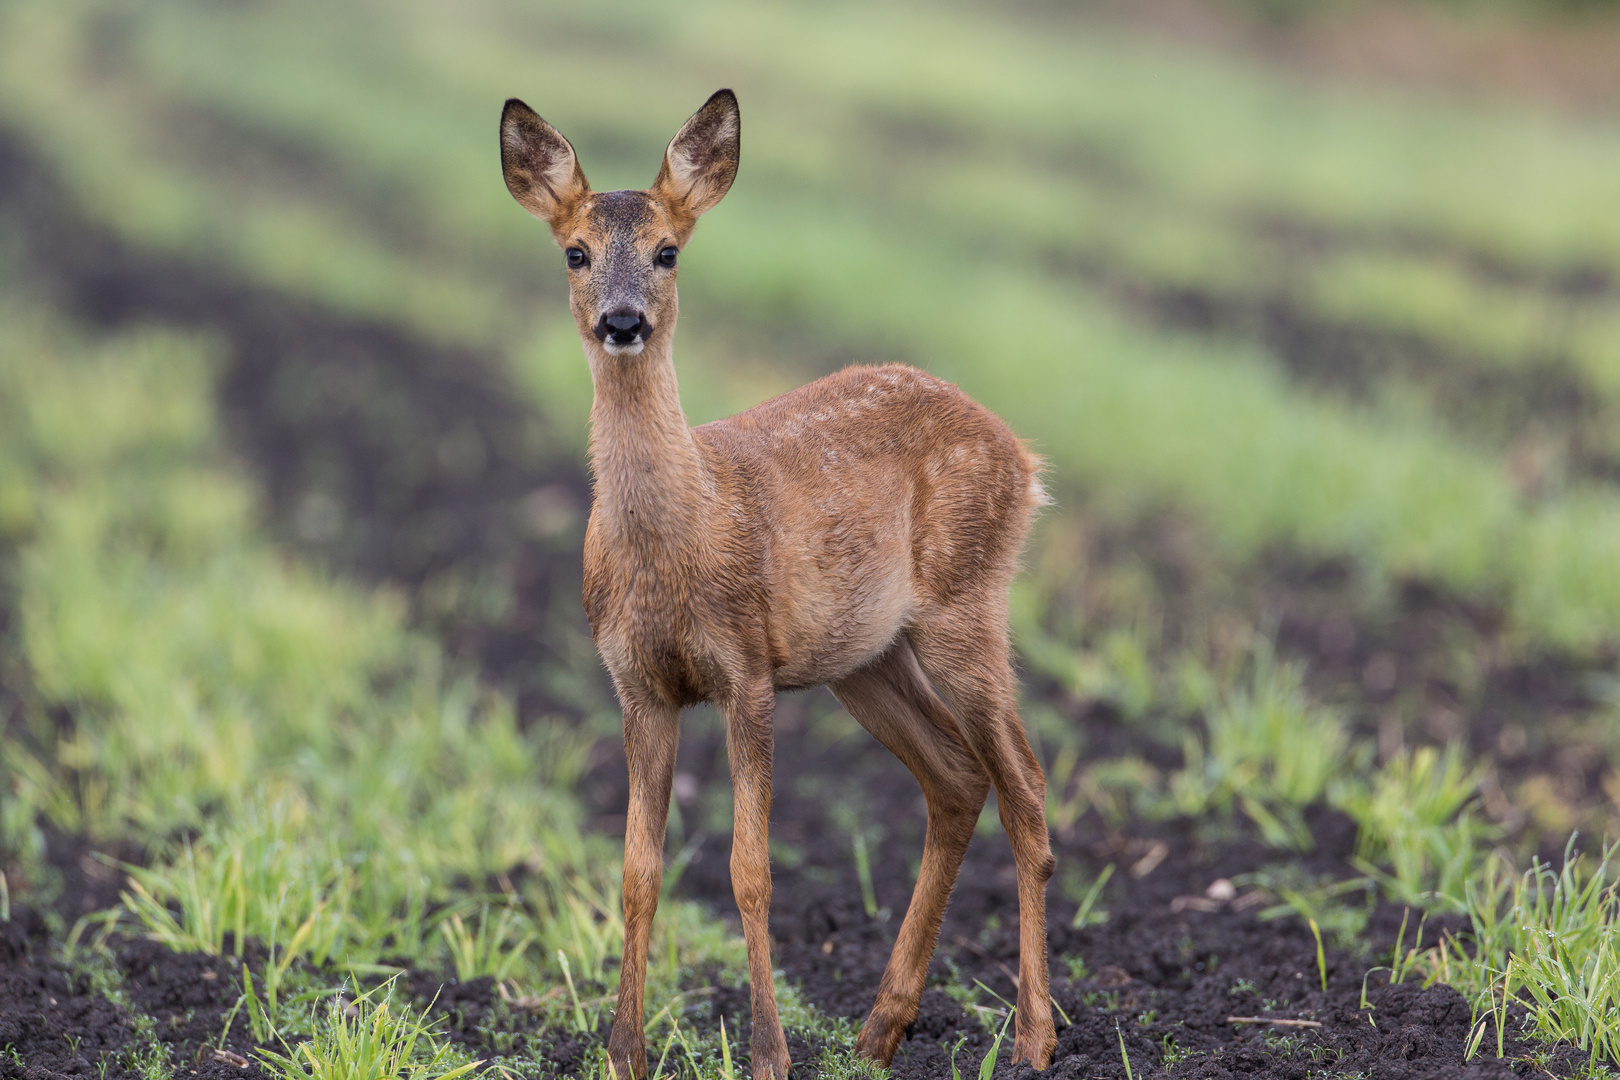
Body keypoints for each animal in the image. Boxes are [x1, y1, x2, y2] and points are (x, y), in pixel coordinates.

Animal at [498, 88, 1056, 1075]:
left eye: (668, 251)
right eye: (575, 252)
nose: (623, 322)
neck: (677, 540)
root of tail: (1022, 458)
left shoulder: (748, 668)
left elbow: (749, 870)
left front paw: (769, 1052)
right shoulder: (636, 683)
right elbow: (638, 870)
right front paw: (623, 1051)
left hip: (968, 601)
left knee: (1024, 786)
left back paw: (1033, 1038)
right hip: (863, 659)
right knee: (957, 778)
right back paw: (880, 1030)